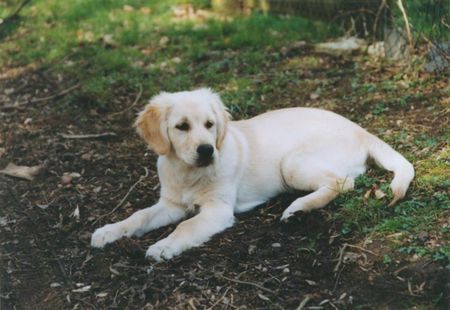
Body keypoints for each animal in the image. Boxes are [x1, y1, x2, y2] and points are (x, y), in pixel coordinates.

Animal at [91, 88, 414, 260]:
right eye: (181, 126)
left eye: (209, 124)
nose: (207, 150)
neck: (187, 173)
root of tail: (361, 130)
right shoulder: (171, 204)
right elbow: (139, 217)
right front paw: (109, 231)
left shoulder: (217, 210)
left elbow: (185, 227)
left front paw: (164, 245)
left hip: (291, 164)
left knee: (342, 182)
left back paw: (297, 208)